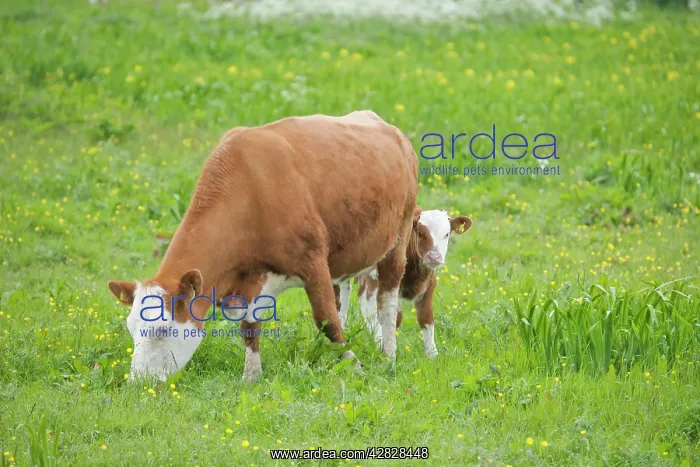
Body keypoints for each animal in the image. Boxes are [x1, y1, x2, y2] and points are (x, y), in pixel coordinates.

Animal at [107, 110, 418, 381]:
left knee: (387, 303)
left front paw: (355, 366)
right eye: (131, 328)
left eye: (162, 329)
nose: (137, 382)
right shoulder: (251, 280)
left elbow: (326, 320)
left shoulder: (313, 261)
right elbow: (249, 326)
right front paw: (251, 376)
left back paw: (388, 354)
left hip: (398, 239)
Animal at [337, 207, 472, 358]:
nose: (434, 257)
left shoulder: (429, 286)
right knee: (346, 296)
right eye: (420, 233)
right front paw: (387, 348)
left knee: (365, 299)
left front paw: (432, 355)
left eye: (447, 234)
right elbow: (395, 318)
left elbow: (426, 319)